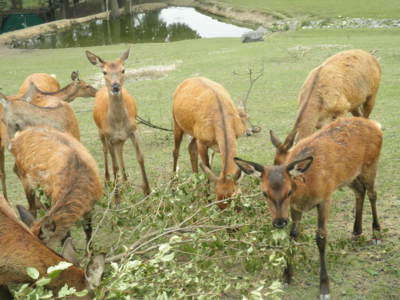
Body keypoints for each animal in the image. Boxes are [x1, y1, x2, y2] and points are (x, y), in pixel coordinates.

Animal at [86, 48, 152, 196]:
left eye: (123, 69)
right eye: (104, 72)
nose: (115, 87)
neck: (119, 122)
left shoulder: (134, 130)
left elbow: (140, 157)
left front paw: (148, 190)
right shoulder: (109, 136)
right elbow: (114, 164)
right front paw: (116, 195)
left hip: (119, 139)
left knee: (119, 151)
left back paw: (126, 182)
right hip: (100, 132)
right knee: (105, 151)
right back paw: (108, 181)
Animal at [173, 77, 247, 209]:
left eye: (235, 200)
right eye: (218, 203)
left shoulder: (235, 137)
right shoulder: (202, 143)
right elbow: (207, 168)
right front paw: (207, 200)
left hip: (194, 133)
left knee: (190, 148)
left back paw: (195, 186)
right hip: (176, 123)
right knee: (175, 151)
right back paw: (174, 188)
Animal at [234, 117, 384, 300]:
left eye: (289, 191)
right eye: (264, 193)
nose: (279, 222)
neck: (305, 192)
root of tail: (375, 125)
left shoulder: (325, 197)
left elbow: (321, 237)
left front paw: (324, 287)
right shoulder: (295, 208)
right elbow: (292, 235)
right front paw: (287, 275)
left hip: (371, 165)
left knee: (372, 193)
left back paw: (376, 234)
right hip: (350, 175)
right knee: (359, 191)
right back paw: (356, 233)